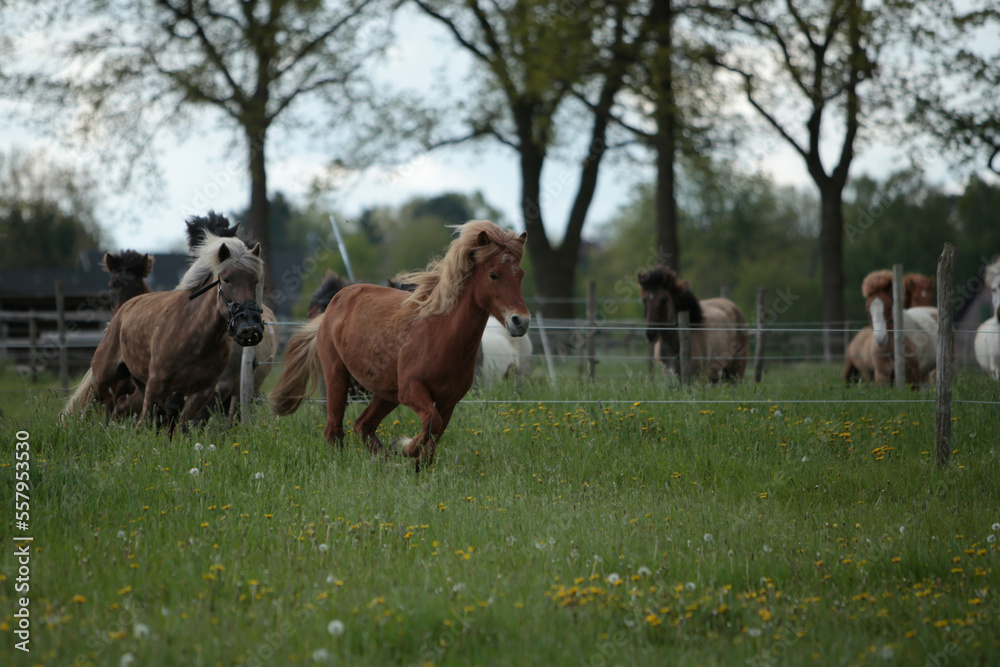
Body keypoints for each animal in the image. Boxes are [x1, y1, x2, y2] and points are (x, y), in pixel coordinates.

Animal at [89, 235, 264, 434]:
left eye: (255, 281)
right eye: (226, 279)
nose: (248, 326)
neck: (196, 335)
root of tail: (123, 310)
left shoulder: (202, 392)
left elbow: (181, 428)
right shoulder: (156, 385)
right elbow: (143, 424)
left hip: (138, 384)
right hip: (103, 378)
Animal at [270, 220, 528, 470]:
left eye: (520, 275)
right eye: (493, 275)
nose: (521, 321)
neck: (440, 335)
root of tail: (335, 303)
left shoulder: (448, 401)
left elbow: (433, 439)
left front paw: (412, 462)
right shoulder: (411, 390)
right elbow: (432, 424)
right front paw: (404, 447)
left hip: (385, 394)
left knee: (362, 425)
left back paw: (387, 464)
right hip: (337, 377)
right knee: (334, 429)